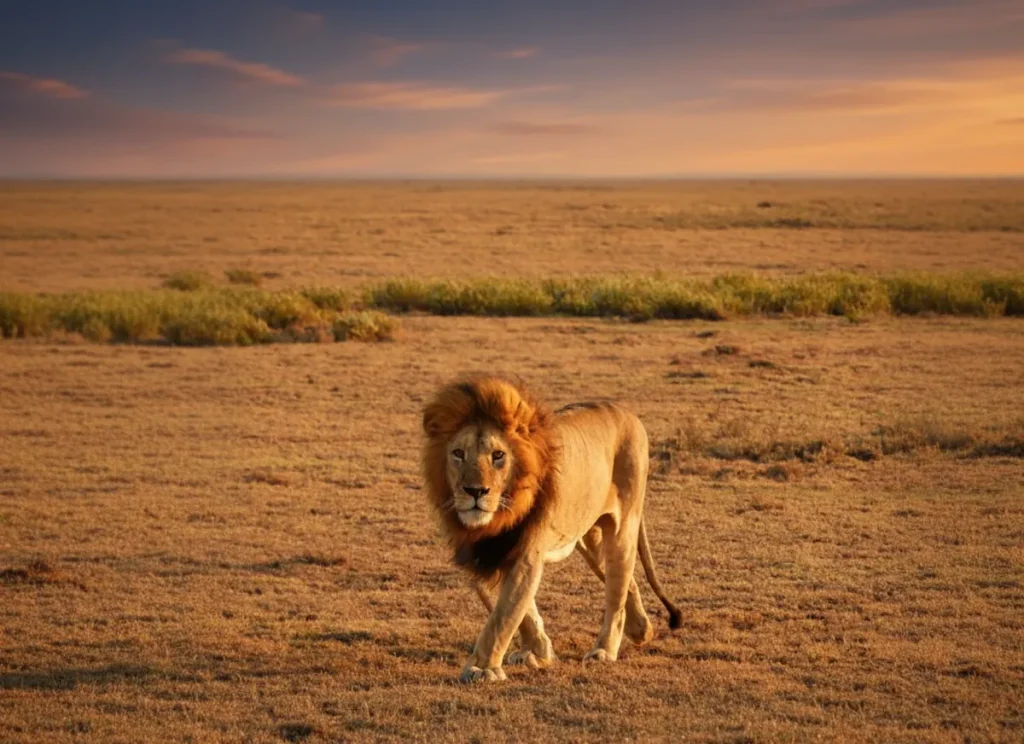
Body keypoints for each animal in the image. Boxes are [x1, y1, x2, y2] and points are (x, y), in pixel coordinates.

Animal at [422, 376, 682, 682]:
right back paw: (641, 630)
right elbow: (518, 610)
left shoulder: (525, 553)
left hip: (622, 528)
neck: (495, 520)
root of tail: (627, 412)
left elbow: (503, 615)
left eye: (498, 455)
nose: (475, 491)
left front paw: (482, 668)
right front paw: (538, 651)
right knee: (627, 581)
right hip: (589, 538)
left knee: (616, 589)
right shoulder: (482, 553)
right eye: (458, 454)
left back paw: (605, 650)